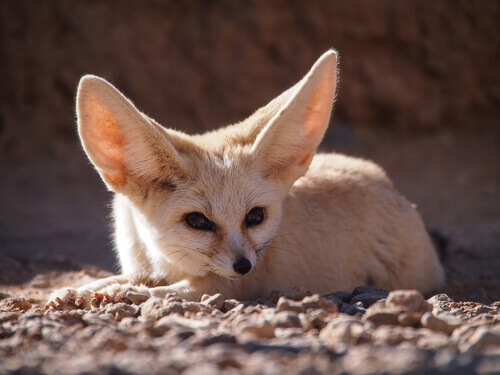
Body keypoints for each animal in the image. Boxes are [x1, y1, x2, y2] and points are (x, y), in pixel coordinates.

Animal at [47, 49, 446, 308]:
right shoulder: (146, 266)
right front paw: (80, 290)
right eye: (197, 221)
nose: (243, 265)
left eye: (255, 217)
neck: (169, 262)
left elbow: (174, 291)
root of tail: (388, 185)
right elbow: (122, 279)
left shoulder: (234, 286)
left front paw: (130, 294)